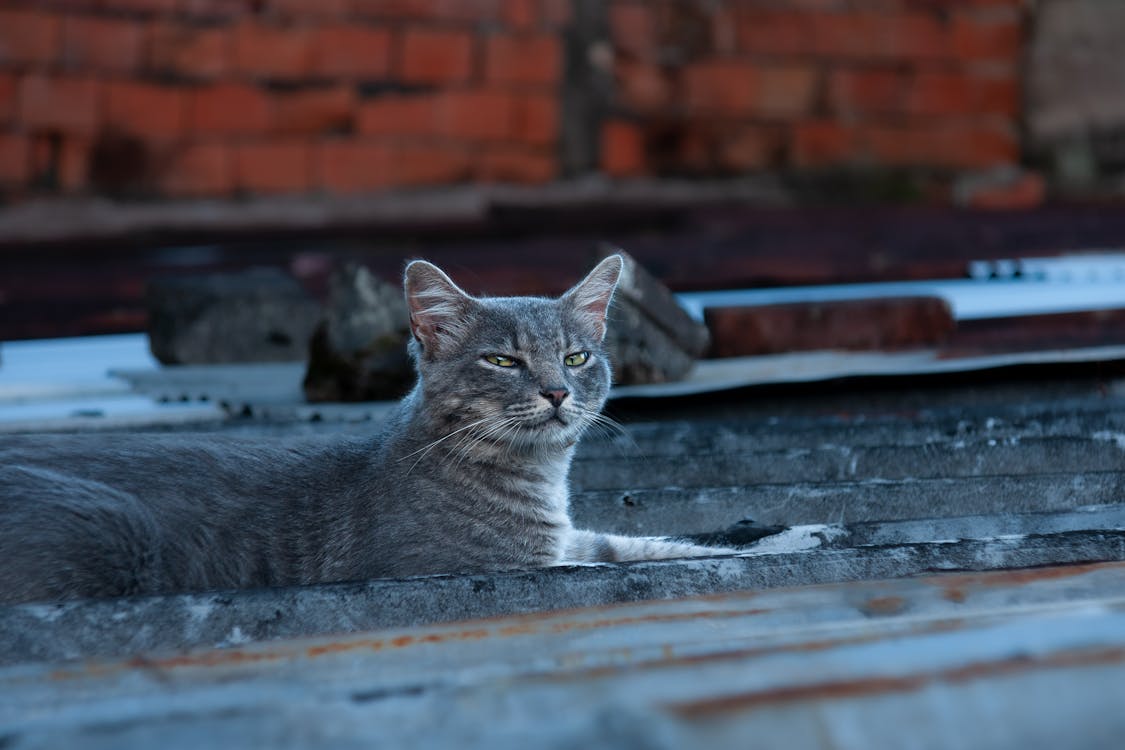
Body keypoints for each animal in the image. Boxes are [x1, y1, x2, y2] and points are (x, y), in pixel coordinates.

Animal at [0, 255, 733, 607]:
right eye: (503, 360)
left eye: (577, 358)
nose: (557, 390)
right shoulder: (501, 564)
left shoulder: (573, 539)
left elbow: (638, 544)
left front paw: (746, 541)